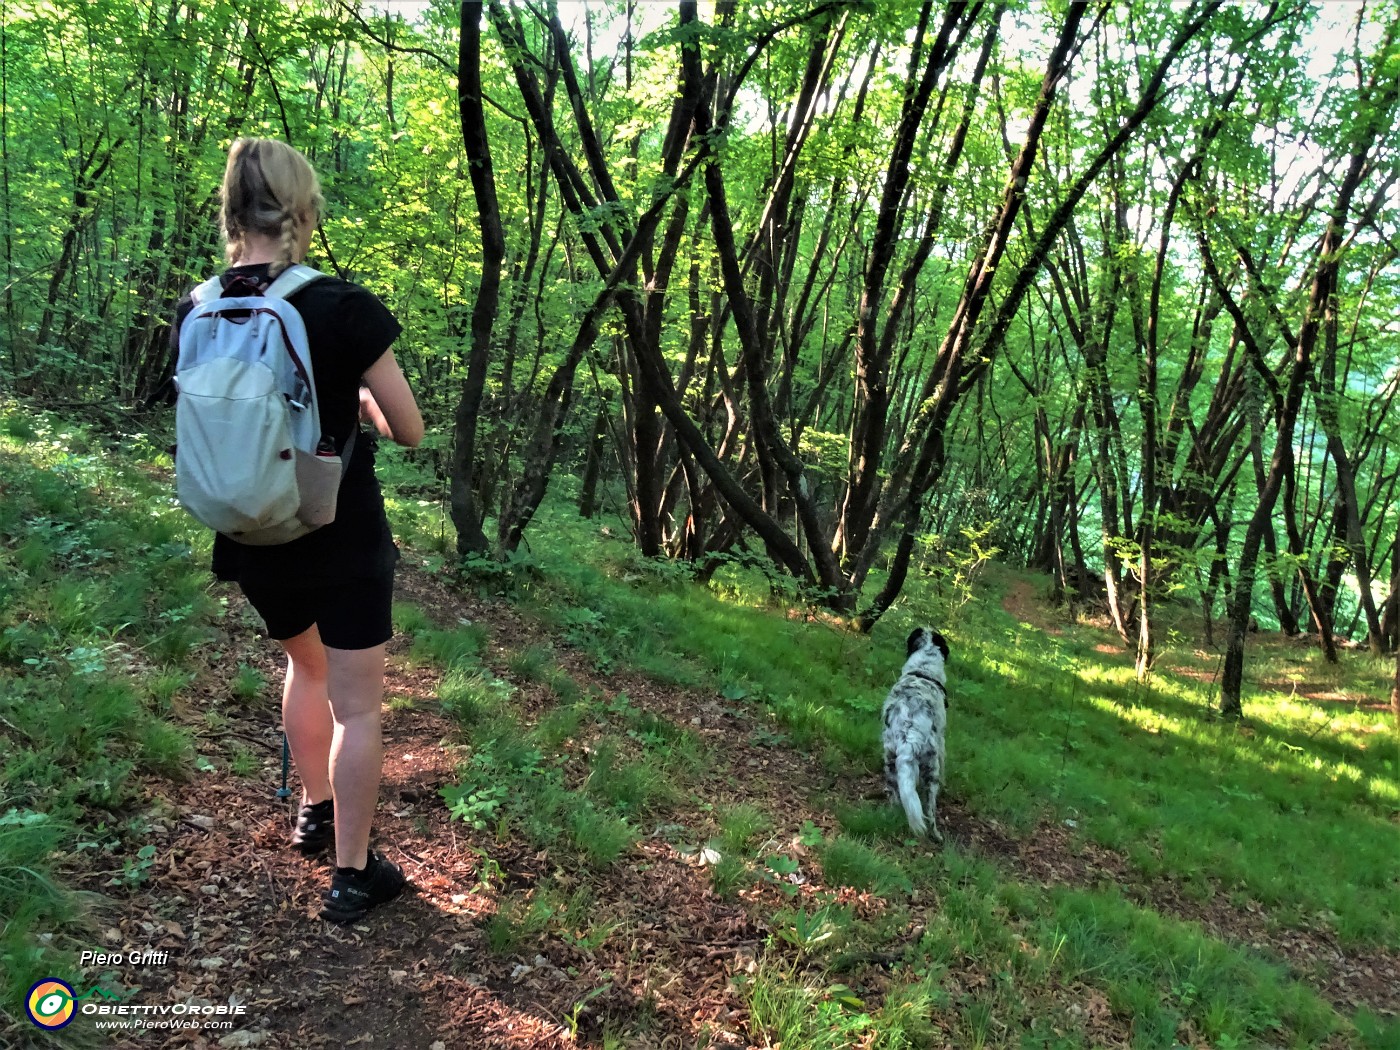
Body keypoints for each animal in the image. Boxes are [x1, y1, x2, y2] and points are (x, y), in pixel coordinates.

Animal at [879, 630, 946, 845]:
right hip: (932, 769)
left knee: (895, 794)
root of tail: (910, 733)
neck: (922, 671)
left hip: (890, 759)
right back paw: (936, 834)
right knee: (930, 811)